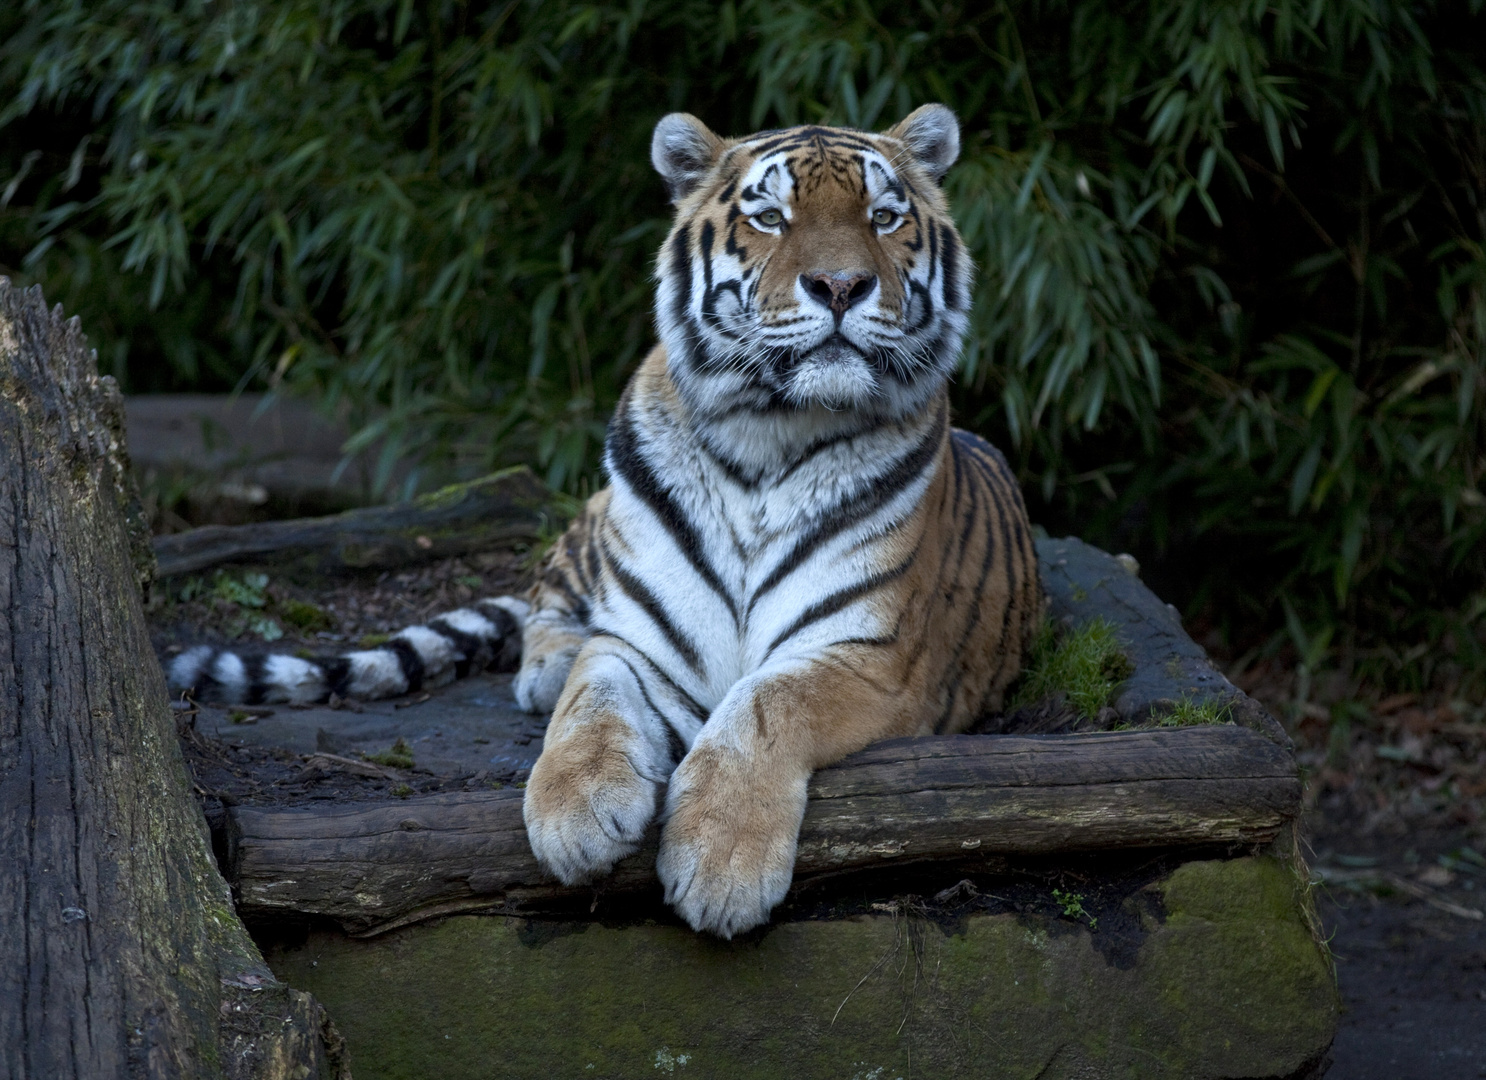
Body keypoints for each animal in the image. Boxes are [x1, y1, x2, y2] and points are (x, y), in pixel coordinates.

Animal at [168, 105, 1040, 944]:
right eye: (770, 217)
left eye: (885, 217)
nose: (840, 284)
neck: (766, 438)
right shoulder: (640, 639)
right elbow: (592, 695)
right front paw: (575, 811)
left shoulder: (872, 660)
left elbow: (766, 703)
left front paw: (720, 865)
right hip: (593, 516)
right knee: (551, 604)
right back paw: (546, 663)